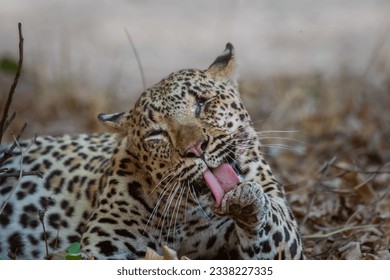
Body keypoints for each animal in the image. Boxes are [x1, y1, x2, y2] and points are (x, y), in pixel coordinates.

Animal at [0, 43, 304, 260]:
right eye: (157, 134)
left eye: (201, 104)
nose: (196, 148)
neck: (191, 215)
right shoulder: (105, 245)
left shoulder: (285, 242)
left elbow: (273, 226)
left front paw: (247, 200)